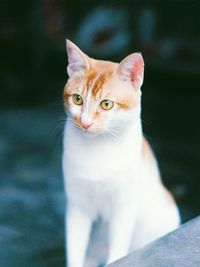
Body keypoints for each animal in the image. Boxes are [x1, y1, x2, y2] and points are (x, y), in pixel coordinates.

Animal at [61, 39, 180, 267]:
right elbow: (75, 251)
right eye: (78, 99)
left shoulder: (123, 209)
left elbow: (117, 250)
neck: (98, 149)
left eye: (106, 104)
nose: (85, 122)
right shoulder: (77, 207)